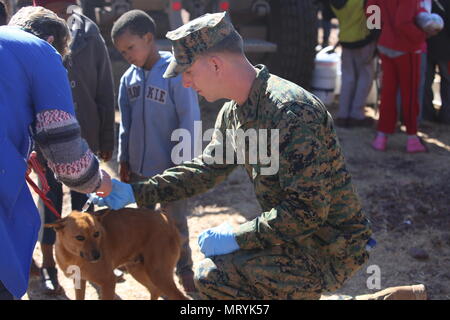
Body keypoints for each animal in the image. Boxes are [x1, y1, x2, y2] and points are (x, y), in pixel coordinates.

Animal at [44, 208, 188, 300]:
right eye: (80, 238)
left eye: (97, 234)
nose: (98, 256)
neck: (74, 257)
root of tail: (168, 221)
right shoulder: (79, 281)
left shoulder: (108, 281)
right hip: (137, 269)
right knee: (155, 290)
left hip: (158, 274)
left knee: (179, 297)